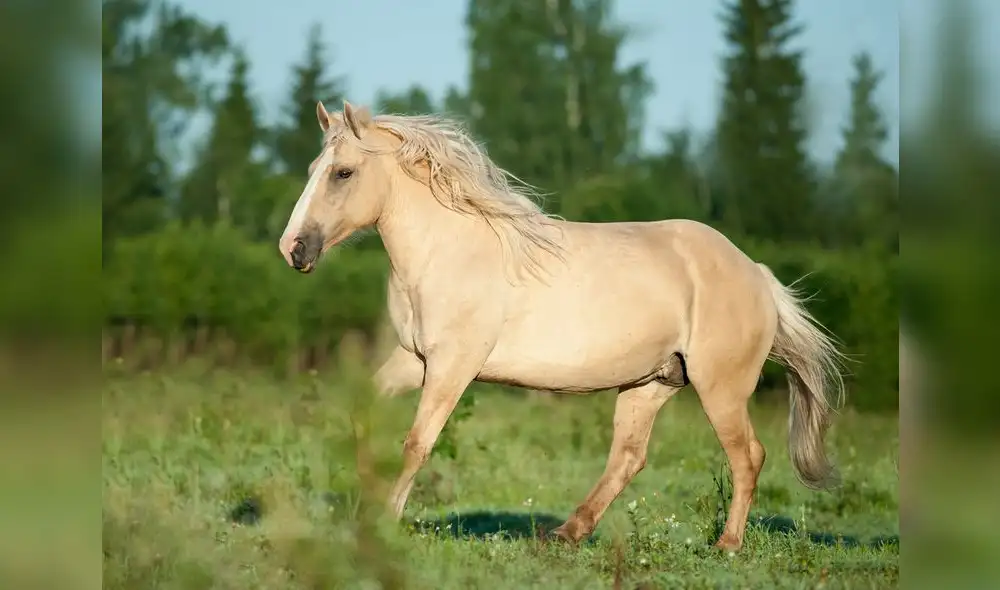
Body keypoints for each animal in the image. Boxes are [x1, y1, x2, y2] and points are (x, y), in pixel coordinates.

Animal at [277, 100, 847, 552]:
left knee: (748, 456)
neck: (450, 249)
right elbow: (362, 418)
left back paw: (727, 544)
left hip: (720, 388)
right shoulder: (414, 360)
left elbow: (417, 442)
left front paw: (385, 521)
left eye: (343, 173)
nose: (293, 250)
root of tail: (757, 274)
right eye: (313, 167)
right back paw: (567, 533)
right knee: (628, 458)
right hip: (652, 382)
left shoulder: (452, 367)